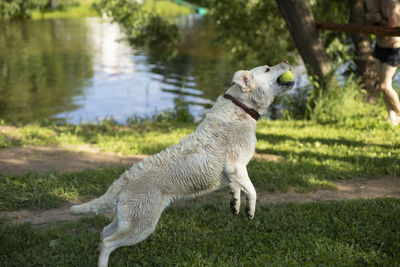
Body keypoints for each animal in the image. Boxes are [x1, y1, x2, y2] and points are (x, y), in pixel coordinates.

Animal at [69, 61, 294, 266]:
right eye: (267, 69)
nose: (287, 61)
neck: (241, 108)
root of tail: (121, 182)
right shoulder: (236, 166)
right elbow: (253, 191)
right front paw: (250, 211)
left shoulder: (234, 173)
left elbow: (237, 189)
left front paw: (236, 204)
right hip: (141, 224)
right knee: (109, 242)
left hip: (126, 218)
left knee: (104, 232)